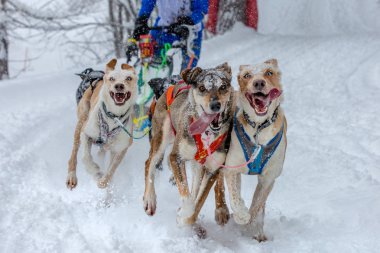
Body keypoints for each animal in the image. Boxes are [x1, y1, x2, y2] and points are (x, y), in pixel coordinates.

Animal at [66, 59, 137, 190]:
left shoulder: (121, 149)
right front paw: (96, 171)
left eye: (128, 78)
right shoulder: (86, 134)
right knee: (74, 153)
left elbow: (111, 170)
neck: (113, 116)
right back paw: (71, 177)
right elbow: (86, 157)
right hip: (81, 124)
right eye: (112, 78)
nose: (119, 86)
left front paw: (104, 182)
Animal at [143, 63, 235, 237]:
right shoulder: (176, 157)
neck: (207, 134)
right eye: (202, 88)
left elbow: (197, 202)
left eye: (223, 87)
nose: (215, 105)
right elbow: (188, 199)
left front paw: (185, 220)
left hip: (197, 165)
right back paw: (149, 200)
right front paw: (184, 213)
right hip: (161, 138)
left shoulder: (213, 169)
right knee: (149, 163)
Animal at [223, 58, 288, 242]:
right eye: (247, 75)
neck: (259, 127)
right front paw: (241, 216)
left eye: (269, 72)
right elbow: (235, 197)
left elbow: (257, 204)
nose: (258, 82)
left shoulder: (269, 178)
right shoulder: (232, 168)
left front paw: (251, 225)